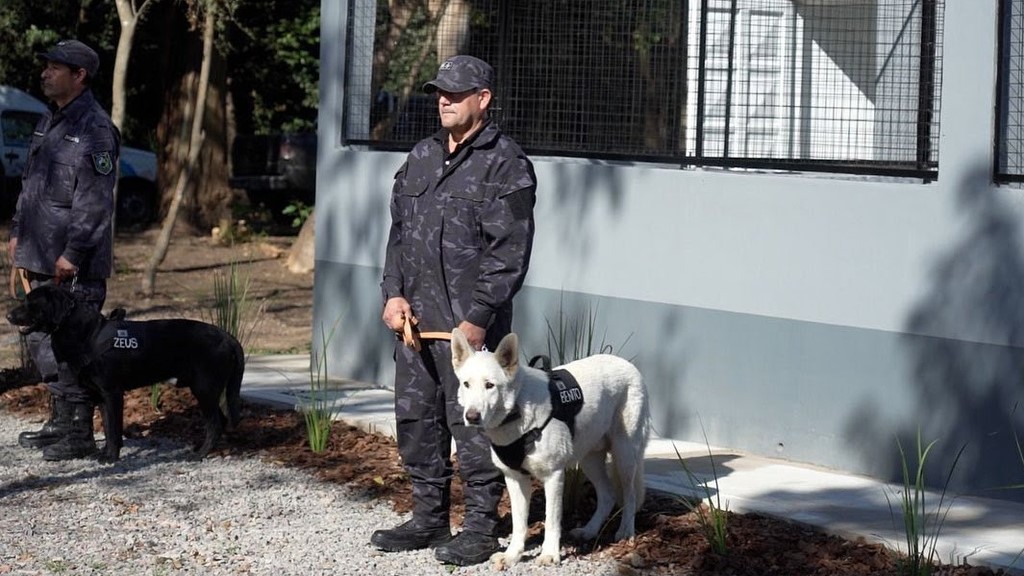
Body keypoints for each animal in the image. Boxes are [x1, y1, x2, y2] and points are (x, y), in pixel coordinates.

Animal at [9, 282, 243, 461]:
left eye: (31, 302)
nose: (8, 315)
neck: (87, 334)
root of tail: (227, 336)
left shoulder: (112, 393)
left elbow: (114, 429)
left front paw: (110, 458)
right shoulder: (100, 396)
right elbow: (108, 428)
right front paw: (105, 453)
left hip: (204, 388)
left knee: (215, 424)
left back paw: (200, 453)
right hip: (207, 390)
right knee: (221, 421)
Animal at [452, 327, 651, 565]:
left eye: (490, 385)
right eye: (466, 384)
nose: (471, 417)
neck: (517, 410)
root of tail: (629, 365)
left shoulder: (553, 476)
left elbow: (552, 520)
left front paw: (549, 554)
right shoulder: (515, 478)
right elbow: (519, 524)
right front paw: (513, 555)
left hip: (625, 455)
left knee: (629, 496)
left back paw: (626, 531)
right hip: (589, 460)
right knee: (608, 495)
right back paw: (589, 531)